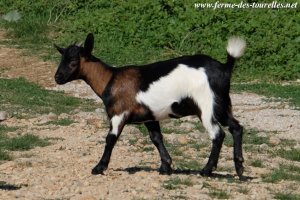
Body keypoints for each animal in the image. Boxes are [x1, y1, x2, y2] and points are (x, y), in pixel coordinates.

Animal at [54, 33, 246, 177]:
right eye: (62, 59)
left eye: (73, 62)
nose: (57, 78)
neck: (110, 79)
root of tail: (225, 68)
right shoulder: (150, 116)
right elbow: (156, 138)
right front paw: (166, 167)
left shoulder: (119, 113)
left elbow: (111, 138)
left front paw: (99, 167)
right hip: (222, 105)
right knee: (236, 127)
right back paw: (239, 169)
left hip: (206, 106)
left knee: (217, 134)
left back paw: (206, 170)